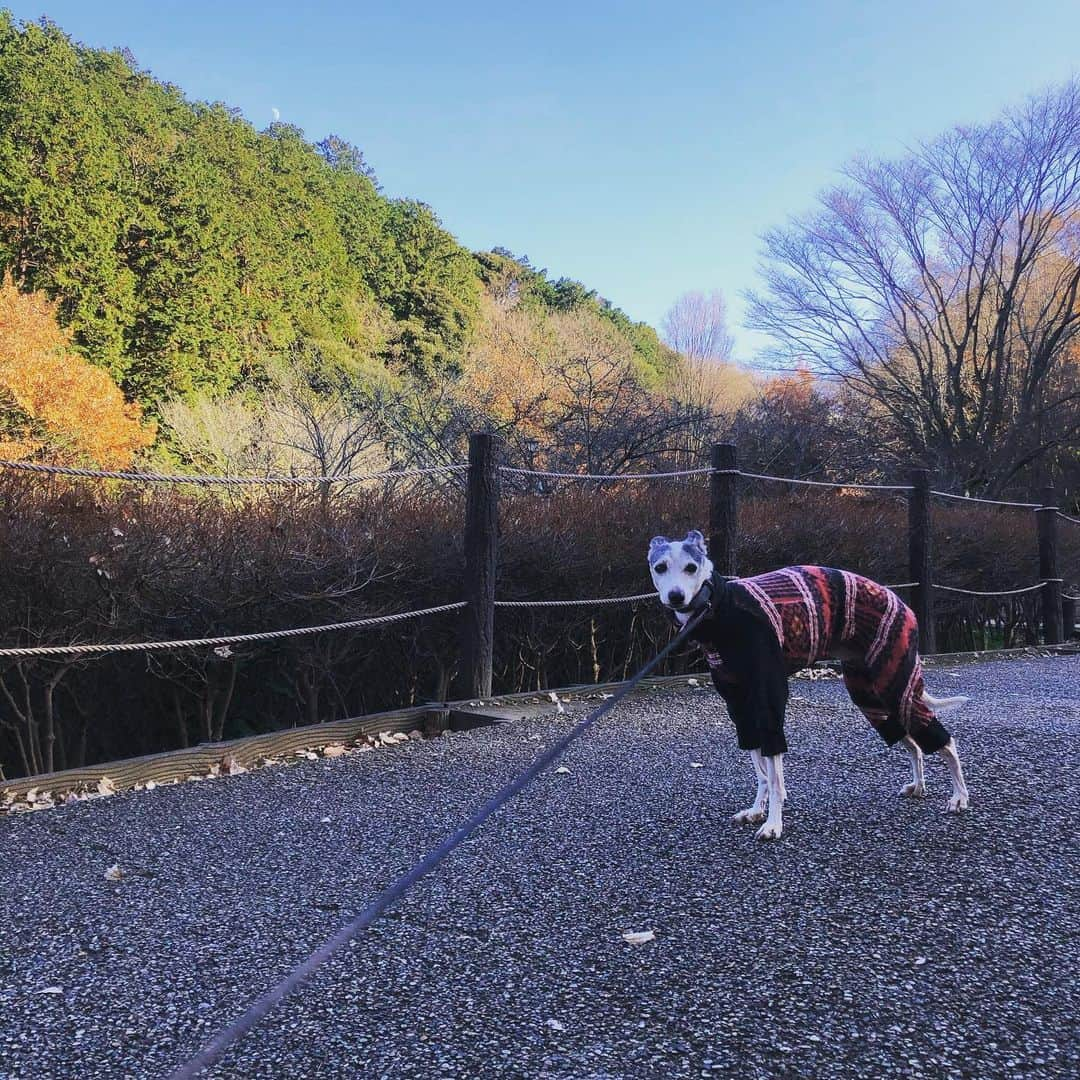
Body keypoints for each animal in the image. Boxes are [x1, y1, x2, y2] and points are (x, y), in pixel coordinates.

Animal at [648, 531, 972, 842]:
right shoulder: (740, 707)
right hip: (872, 699)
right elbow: (761, 772)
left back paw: (959, 797)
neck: (719, 607)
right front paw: (756, 811)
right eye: (659, 567)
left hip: (895, 683)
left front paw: (773, 825)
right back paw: (918, 786)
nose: (676, 596)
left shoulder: (768, 698)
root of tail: (904, 605)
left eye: (691, 567)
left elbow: (774, 777)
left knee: (945, 742)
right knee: (913, 744)